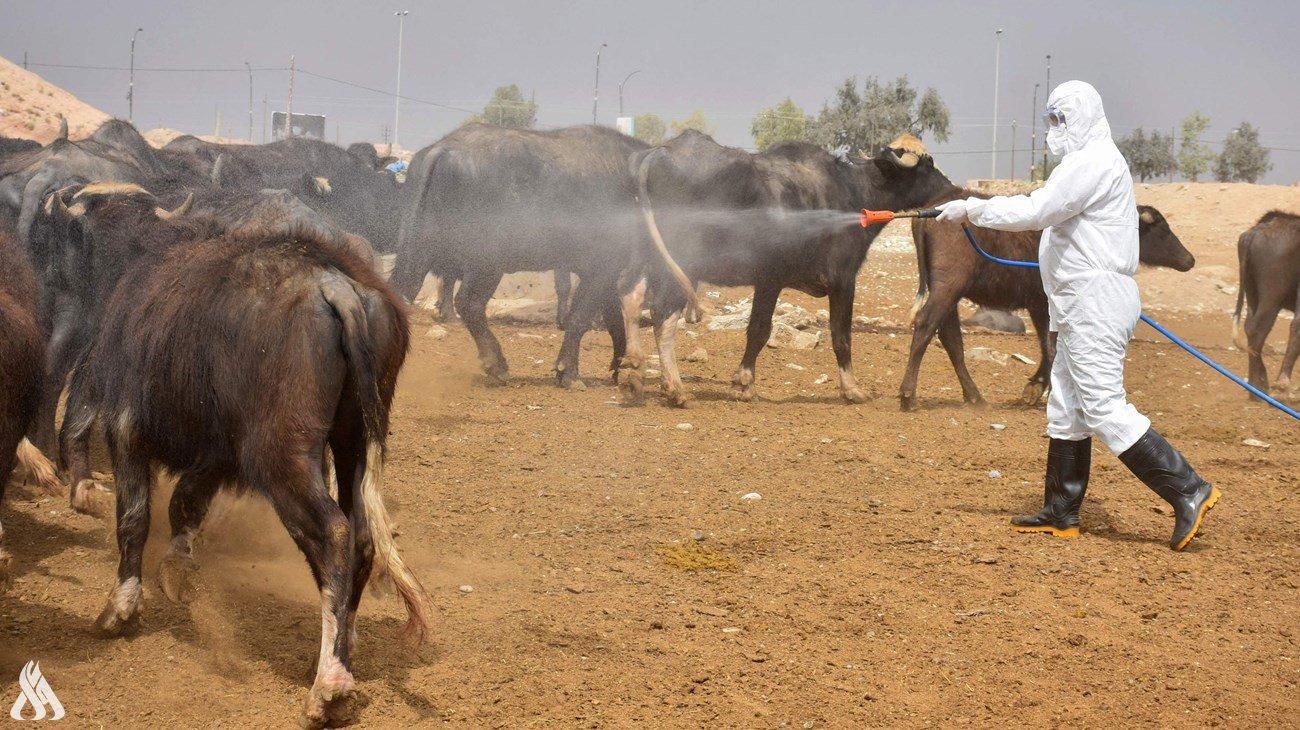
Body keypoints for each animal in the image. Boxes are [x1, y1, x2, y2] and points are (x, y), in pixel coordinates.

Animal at [50, 184, 428, 722]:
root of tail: (335, 286)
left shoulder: (126, 430)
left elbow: (135, 518)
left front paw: (121, 607)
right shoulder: (218, 452)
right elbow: (185, 504)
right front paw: (177, 570)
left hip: (283, 457)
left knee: (332, 533)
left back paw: (329, 683)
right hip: (352, 443)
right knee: (361, 537)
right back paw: (345, 650)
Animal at [387, 122, 647, 387]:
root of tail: (443, 148)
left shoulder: (607, 273)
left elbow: (614, 319)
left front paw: (618, 366)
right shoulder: (601, 268)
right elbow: (580, 318)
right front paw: (569, 373)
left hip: (417, 250)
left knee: (401, 292)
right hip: (486, 262)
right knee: (469, 303)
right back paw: (497, 364)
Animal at [618, 130, 956, 402]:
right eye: (927, 165)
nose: (952, 188)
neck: (852, 194)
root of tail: (657, 153)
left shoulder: (772, 282)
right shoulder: (832, 280)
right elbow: (828, 335)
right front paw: (852, 389)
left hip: (646, 257)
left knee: (629, 294)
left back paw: (633, 369)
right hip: (681, 267)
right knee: (663, 316)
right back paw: (674, 388)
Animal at [904, 193, 1196, 410]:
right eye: (1162, 229)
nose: (1190, 259)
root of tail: (929, 214)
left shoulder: (1038, 305)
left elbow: (1048, 346)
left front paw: (1035, 387)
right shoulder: (1050, 303)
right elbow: (1054, 347)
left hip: (949, 294)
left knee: (951, 339)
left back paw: (975, 397)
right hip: (947, 288)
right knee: (926, 326)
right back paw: (908, 395)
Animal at [1232, 209, 1294, 397]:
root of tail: (1252, 234)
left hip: (1253, 292)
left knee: (1250, 329)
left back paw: (1256, 388)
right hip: (1271, 297)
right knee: (1258, 329)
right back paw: (1263, 387)